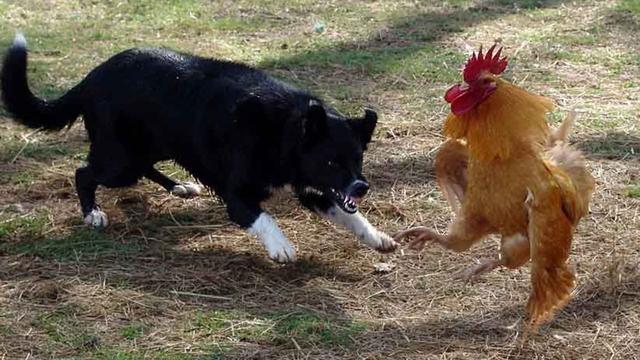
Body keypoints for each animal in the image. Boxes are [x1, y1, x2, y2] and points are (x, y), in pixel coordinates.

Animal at [2, 34, 398, 262]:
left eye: (358, 159)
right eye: (331, 161)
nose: (361, 187)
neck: (282, 128)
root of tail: (91, 77)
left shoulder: (313, 188)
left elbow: (351, 217)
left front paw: (378, 237)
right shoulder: (238, 195)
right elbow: (264, 219)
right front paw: (281, 248)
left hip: (151, 148)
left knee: (143, 168)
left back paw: (179, 186)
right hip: (120, 160)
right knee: (83, 173)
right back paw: (93, 213)